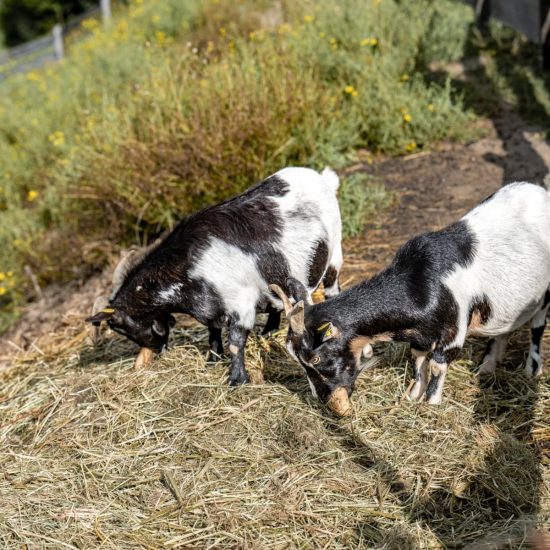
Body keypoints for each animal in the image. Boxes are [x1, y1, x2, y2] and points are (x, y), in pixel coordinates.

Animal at [85, 168, 344, 388]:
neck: (189, 268)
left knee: (332, 288)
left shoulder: (241, 303)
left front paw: (237, 380)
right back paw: (268, 331)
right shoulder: (210, 308)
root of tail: (323, 178)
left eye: (121, 328)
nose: (157, 350)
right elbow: (212, 332)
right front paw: (212, 360)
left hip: (335, 255)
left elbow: (235, 342)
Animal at [274, 183, 550, 416]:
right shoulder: (420, 335)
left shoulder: (452, 333)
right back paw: (489, 365)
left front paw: (431, 405)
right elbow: (417, 359)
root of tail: (539, 191)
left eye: (316, 358)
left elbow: (438, 365)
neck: (419, 281)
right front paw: (412, 396)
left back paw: (531, 371)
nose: (323, 398)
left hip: (545, 296)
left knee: (537, 326)